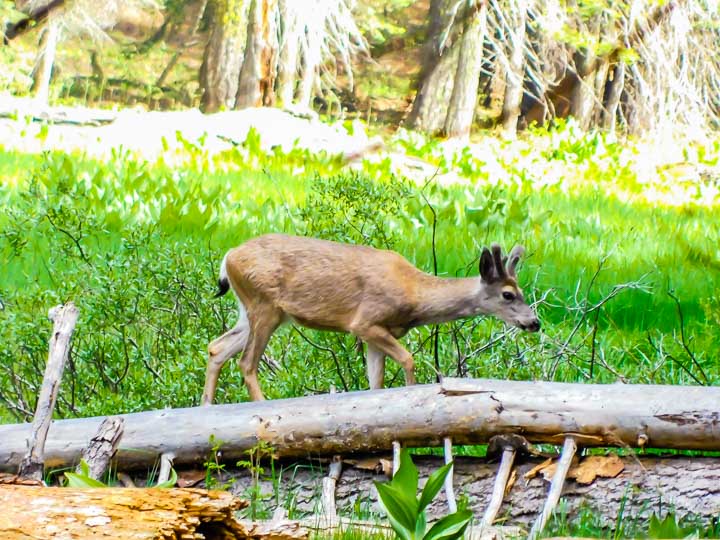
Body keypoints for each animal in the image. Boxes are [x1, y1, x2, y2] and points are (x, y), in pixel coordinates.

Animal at [200, 233, 536, 404]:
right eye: (508, 294)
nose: (535, 322)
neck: (415, 294)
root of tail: (228, 256)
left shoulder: (376, 335)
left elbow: (375, 382)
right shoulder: (364, 322)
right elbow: (408, 359)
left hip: (257, 309)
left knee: (217, 347)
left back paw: (206, 406)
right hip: (264, 304)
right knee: (246, 362)